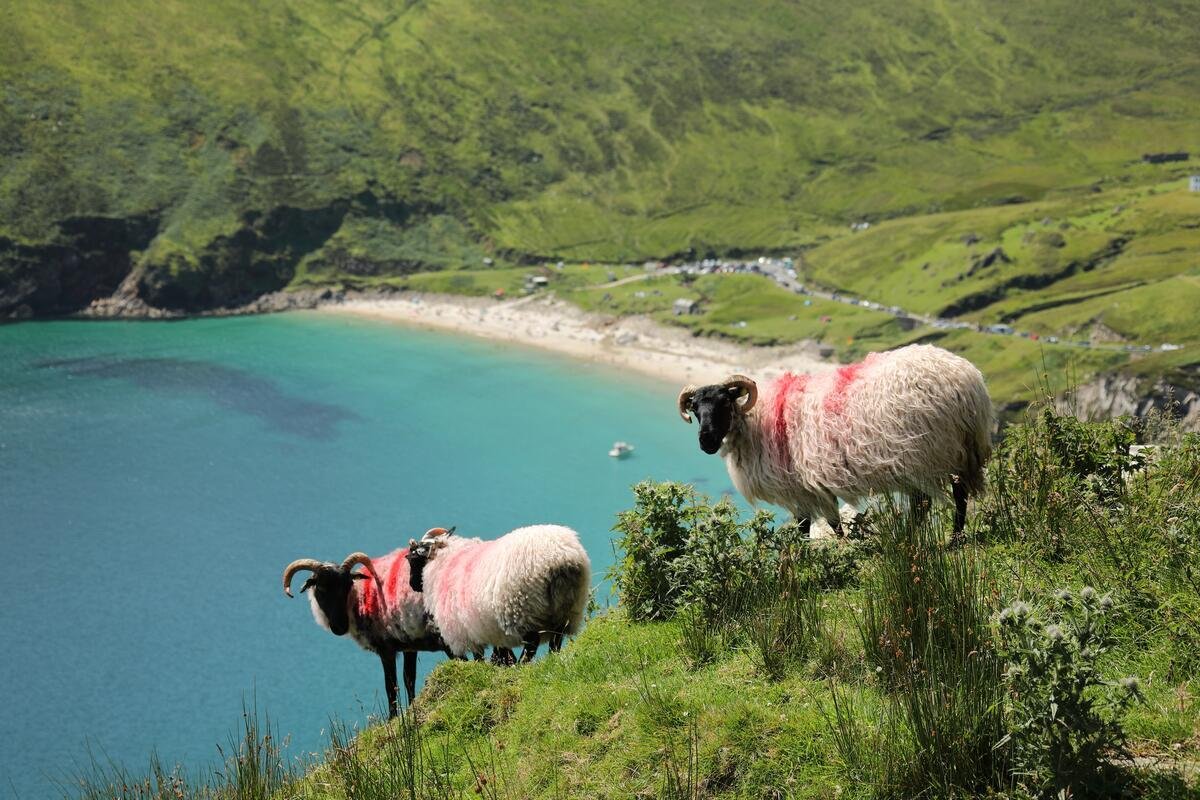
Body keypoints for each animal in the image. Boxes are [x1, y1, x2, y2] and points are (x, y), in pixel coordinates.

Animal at [282, 549, 448, 716]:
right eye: (321, 588)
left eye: (348, 585)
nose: (340, 627)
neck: (359, 600)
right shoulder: (410, 645)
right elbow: (409, 679)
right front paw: (412, 709)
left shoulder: (386, 649)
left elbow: (391, 686)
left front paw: (393, 717)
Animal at [404, 525, 591, 662]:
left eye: (413, 559)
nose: (412, 584)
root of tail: (560, 557)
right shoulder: (490, 630)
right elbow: (500, 654)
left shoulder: (464, 630)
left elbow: (479, 658)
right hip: (566, 608)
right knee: (556, 641)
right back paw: (552, 660)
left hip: (523, 610)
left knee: (532, 644)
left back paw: (522, 667)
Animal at [676, 343, 992, 540]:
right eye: (696, 409)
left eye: (725, 403)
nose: (706, 442)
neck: (757, 421)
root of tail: (967, 378)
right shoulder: (803, 489)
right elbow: (806, 526)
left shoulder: (809, 486)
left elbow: (828, 524)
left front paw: (838, 551)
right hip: (945, 451)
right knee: (933, 500)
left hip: (933, 450)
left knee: (951, 496)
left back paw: (951, 539)